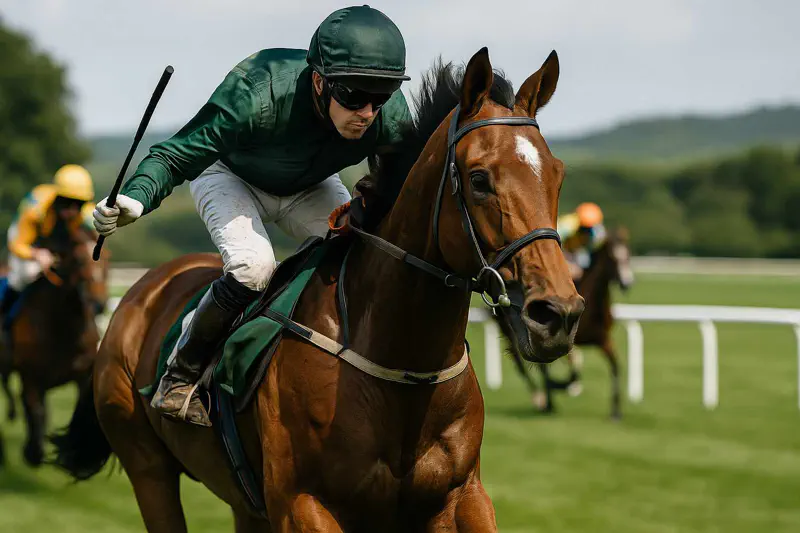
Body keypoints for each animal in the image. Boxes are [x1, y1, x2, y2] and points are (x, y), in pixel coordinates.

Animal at [0, 227, 109, 467]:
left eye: (108, 257)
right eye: (80, 259)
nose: (99, 304)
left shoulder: (82, 373)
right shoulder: (30, 377)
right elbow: (35, 411)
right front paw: (33, 451)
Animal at [51, 48, 583, 532]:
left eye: (558, 175)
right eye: (478, 179)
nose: (556, 314)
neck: (402, 369)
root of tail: (141, 292)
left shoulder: (462, 497)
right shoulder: (304, 504)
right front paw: (119, 210)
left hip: (244, 503)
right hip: (148, 468)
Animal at [497, 227, 634, 419]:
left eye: (628, 254)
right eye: (613, 258)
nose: (626, 283)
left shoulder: (602, 339)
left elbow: (615, 365)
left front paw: (616, 411)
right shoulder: (565, 340)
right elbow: (573, 372)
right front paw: (562, 385)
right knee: (523, 364)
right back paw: (542, 399)